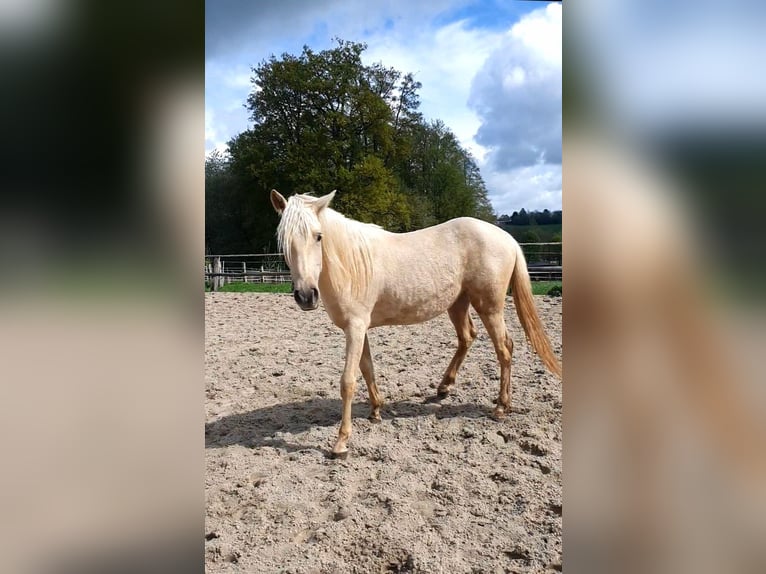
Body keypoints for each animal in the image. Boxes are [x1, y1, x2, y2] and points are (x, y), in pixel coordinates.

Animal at [270, 189, 562, 458]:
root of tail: (507, 239)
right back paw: (444, 388)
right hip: (458, 304)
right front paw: (376, 410)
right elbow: (367, 368)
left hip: (489, 307)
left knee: (504, 348)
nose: (306, 295)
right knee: (467, 337)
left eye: (318, 236)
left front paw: (341, 442)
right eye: (283, 240)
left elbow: (348, 381)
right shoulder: (360, 328)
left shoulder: (355, 328)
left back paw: (500, 407)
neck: (350, 264)